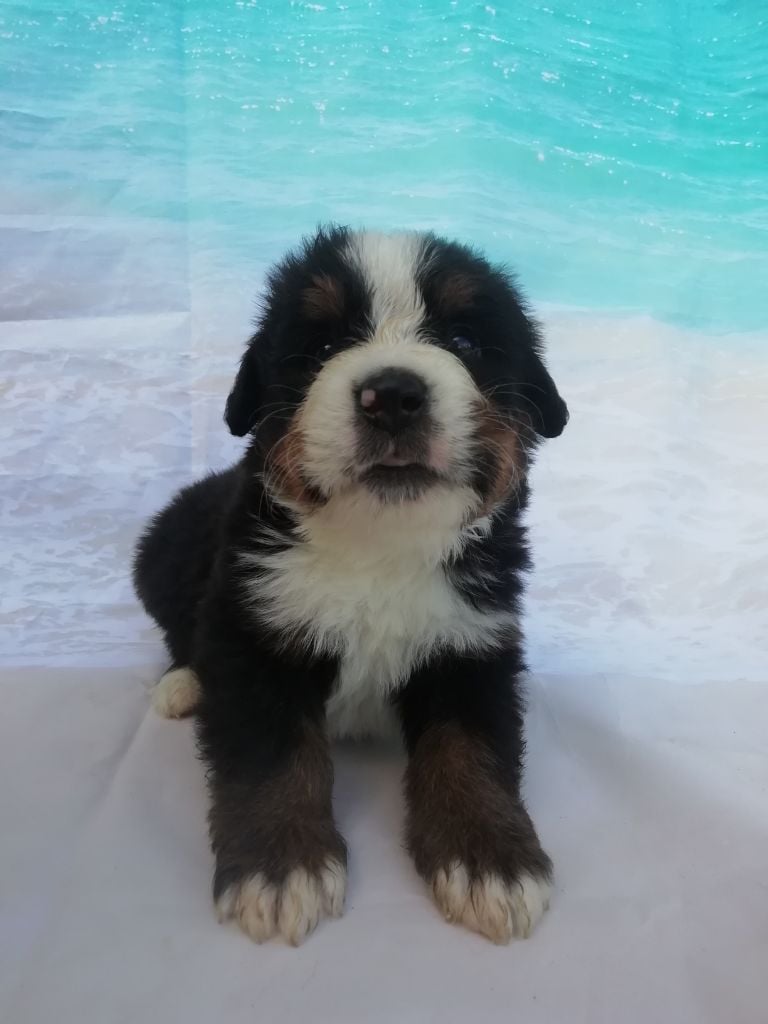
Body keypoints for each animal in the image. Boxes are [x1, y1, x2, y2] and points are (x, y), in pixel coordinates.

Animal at [132, 228, 569, 946]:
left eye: (465, 341)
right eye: (323, 348)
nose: (392, 395)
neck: (380, 544)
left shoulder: (473, 639)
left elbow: (472, 747)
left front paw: (488, 859)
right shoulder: (253, 628)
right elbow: (272, 755)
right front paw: (281, 866)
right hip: (165, 549)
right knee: (179, 633)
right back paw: (183, 684)